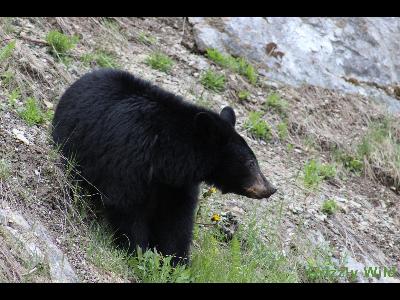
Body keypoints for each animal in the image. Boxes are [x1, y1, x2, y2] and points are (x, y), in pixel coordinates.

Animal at [52, 68, 278, 264]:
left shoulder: (176, 184)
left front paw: (176, 263)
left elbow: (176, 220)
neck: (165, 156)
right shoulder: (128, 161)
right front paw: (138, 253)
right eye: (251, 162)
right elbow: (127, 206)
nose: (270, 188)